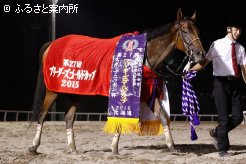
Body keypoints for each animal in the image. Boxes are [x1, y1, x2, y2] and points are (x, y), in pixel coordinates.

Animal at [28, 8, 206, 155]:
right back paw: (34, 147)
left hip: (75, 91)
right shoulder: (125, 92)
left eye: (197, 30)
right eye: (185, 31)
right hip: (53, 91)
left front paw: (172, 146)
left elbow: (162, 117)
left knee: (68, 118)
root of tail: (52, 44)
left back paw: (73, 148)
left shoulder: (148, 92)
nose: (201, 55)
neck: (142, 56)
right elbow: (121, 119)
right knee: (42, 115)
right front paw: (114, 148)